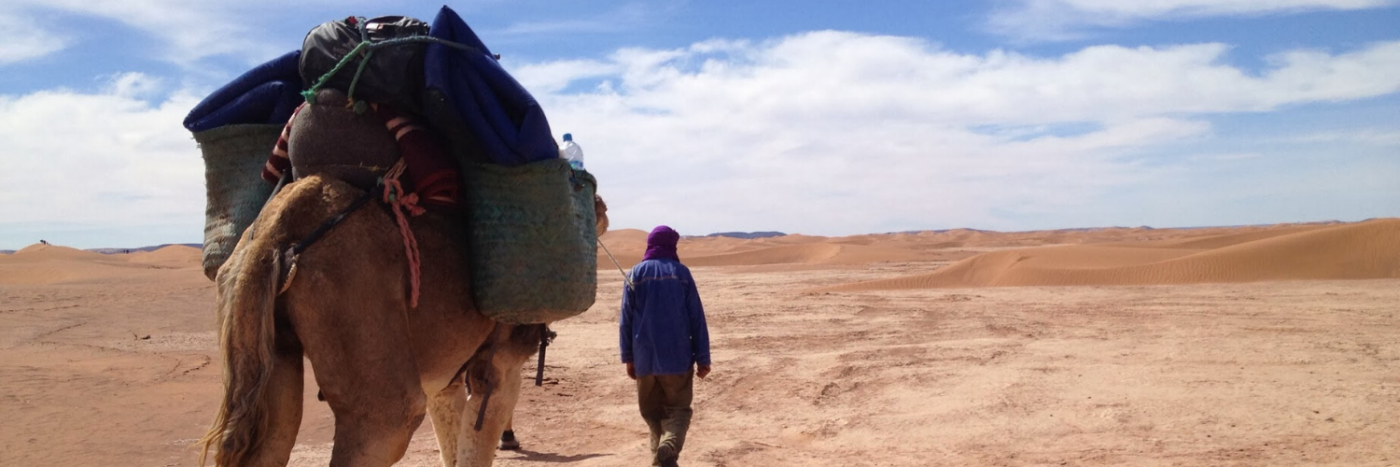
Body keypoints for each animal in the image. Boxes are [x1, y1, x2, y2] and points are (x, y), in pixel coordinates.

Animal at [198, 172, 607, 467]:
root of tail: (274, 236)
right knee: (386, 421)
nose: (601, 206)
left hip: (265, 339)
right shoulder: (500, 364)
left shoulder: (446, 378)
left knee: (270, 437)